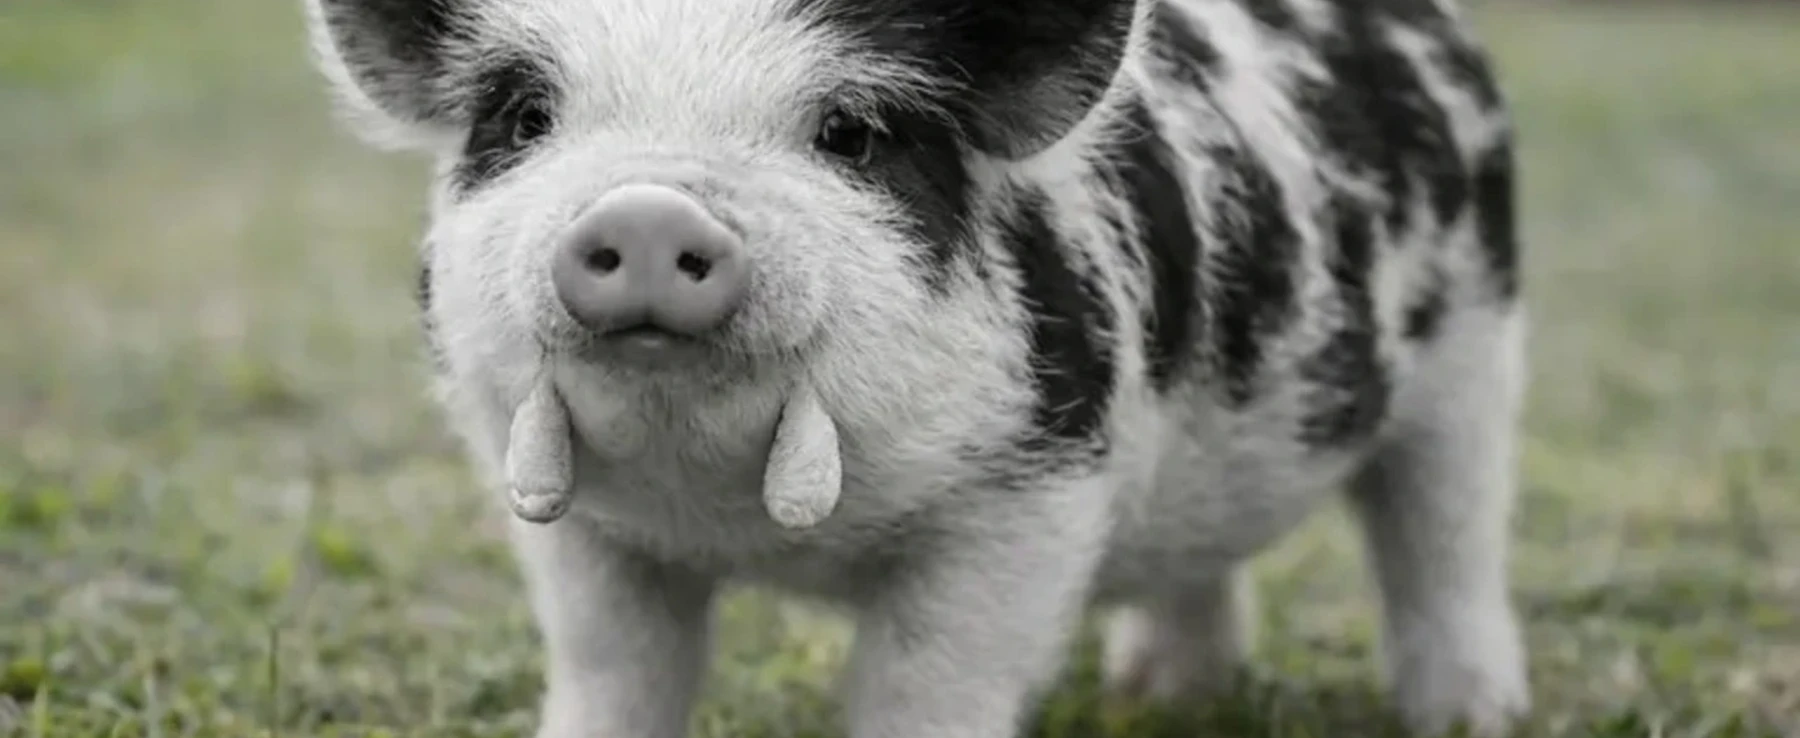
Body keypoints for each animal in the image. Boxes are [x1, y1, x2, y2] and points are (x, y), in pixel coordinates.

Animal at [301, 0, 1531, 736]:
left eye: (849, 133)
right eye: (524, 117)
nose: (647, 211)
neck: (723, 511)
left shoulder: (1031, 484)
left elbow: (933, 676)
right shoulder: (587, 530)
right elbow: (614, 667)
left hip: (1476, 353)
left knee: (1444, 541)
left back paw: (1472, 716)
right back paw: (1159, 693)